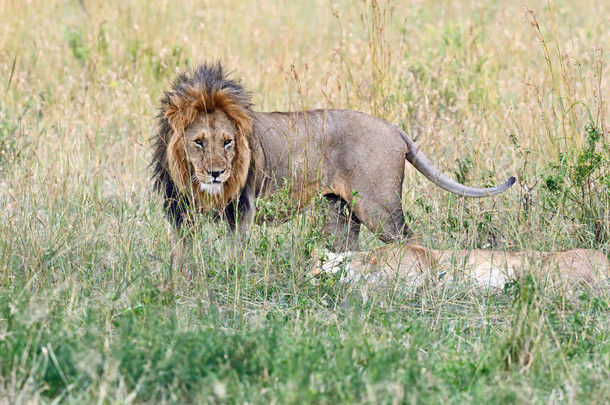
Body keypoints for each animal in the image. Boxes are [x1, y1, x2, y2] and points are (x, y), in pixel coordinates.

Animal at [151, 63, 512, 251]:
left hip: (378, 208)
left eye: (228, 142)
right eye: (198, 142)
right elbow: (181, 256)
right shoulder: (180, 211)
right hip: (338, 210)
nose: (217, 174)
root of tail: (394, 128)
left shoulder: (241, 208)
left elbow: (234, 255)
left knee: (411, 241)